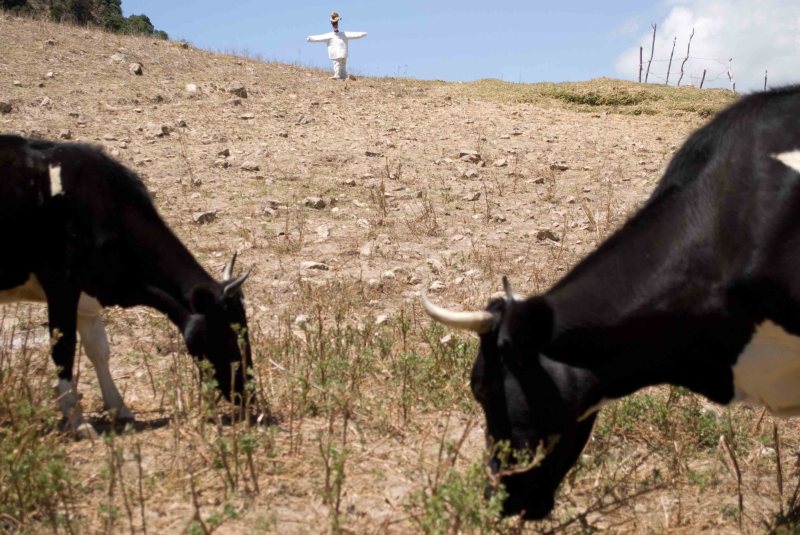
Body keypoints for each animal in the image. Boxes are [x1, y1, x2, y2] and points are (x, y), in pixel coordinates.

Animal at [0, 135, 254, 439]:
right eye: (230, 333)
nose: (248, 393)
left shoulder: (89, 296)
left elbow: (99, 350)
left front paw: (119, 407)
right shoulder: (62, 287)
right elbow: (64, 350)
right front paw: (79, 422)